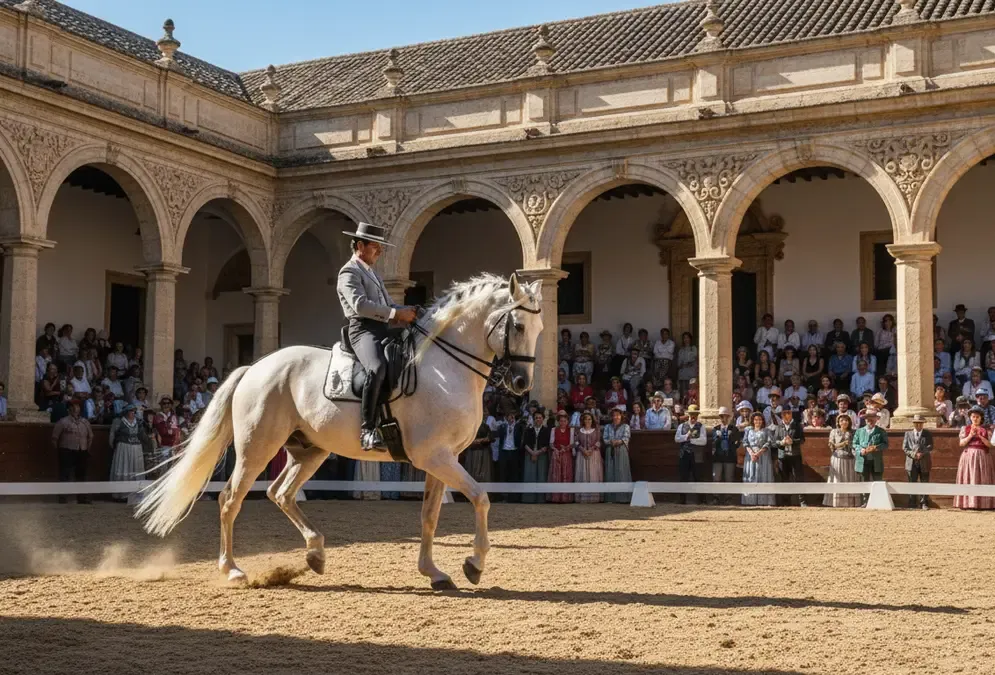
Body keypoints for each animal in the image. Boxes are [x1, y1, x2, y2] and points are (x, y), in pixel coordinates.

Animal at [136, 272, 544, 589]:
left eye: (540, 329)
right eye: (518, 325)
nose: (522, 383)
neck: (443, 368)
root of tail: (254, 367)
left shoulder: (443, 459)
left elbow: (430, 516)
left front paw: (434, 572)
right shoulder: (435, 457)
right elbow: (481, 498)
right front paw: (474, 565)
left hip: (309, 450)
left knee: (280, 493)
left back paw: (315, 553)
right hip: (257, 448)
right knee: (230, 499)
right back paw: (233, 570)